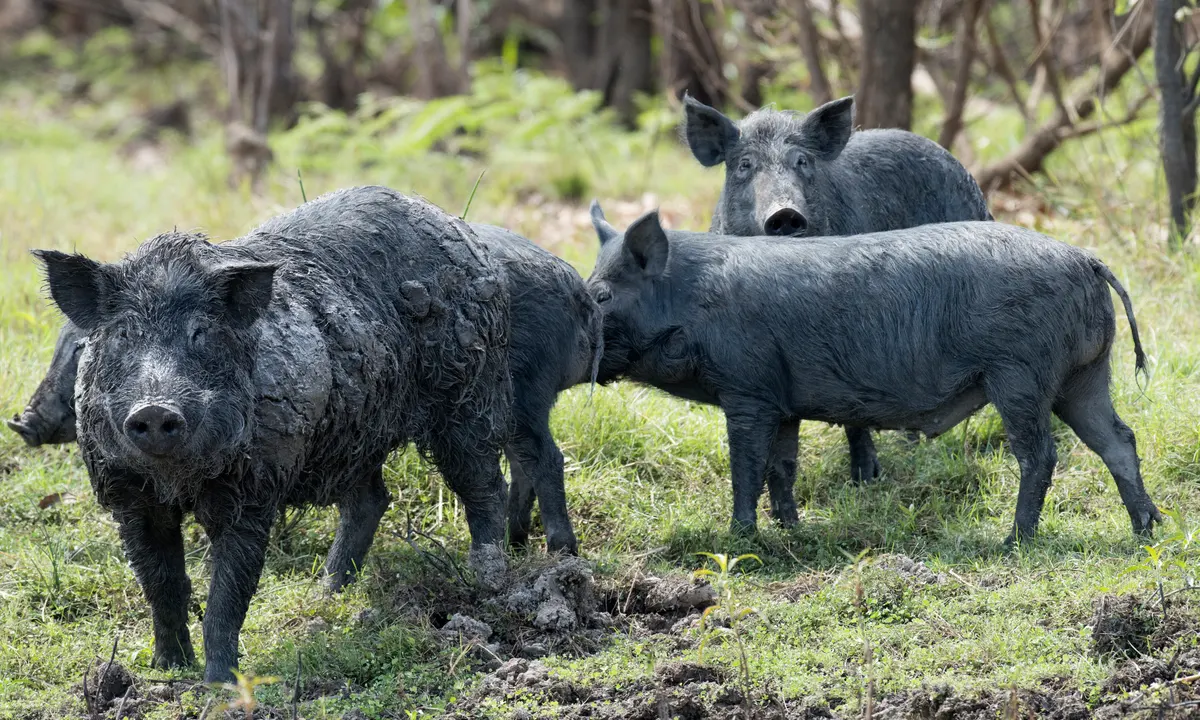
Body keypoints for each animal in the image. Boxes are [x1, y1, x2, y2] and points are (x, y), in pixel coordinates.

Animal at [31, 186, 511, 681]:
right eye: (123, 333)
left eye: (201, 333)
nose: (155, 408)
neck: (177, 481)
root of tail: (457, 228)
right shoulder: (128, 496)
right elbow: (162, 586)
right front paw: (167, 669)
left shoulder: (254, 490)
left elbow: (228, 595)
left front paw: (219, 683)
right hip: (356, 434)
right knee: (372, 499)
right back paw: (328, 595)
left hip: (467, 392)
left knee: (484, 484)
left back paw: (489, 583)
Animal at [468, 223, 600, 552]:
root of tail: (579, 293)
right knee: (521, 464)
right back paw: (513, 542)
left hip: (521, 389)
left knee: (547, 458)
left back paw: (560, 549)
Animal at [588, 207, 1161, 544]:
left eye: (602, 294)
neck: (690, 303)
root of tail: (1086, 259)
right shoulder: (782, 401)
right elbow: (782, 468)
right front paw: (793, 531)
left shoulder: (747, 389)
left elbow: (746, 467)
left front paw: (739, 539)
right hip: (1083, 376)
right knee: (1118, 439)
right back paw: (1148, 529)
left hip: (1019, 374)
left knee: (1040, 453)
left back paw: (1013, 542)